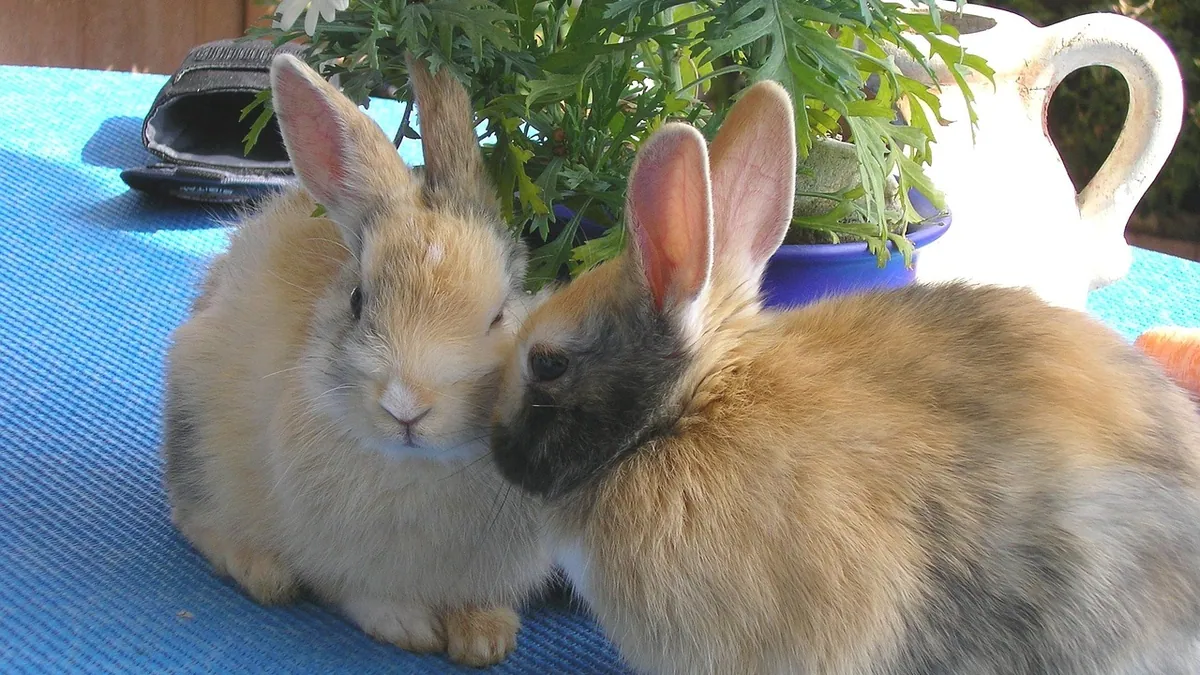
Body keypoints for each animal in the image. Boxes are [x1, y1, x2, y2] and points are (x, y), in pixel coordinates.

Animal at [161, 52, 552, 667]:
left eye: (499, 315)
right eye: (357, 301)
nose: (405, 407)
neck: (422, 467)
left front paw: (485, 637)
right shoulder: (342, 565)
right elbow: (362, 595)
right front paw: (408, 628)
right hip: (195, 432)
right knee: (194, 519)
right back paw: (262, 571)